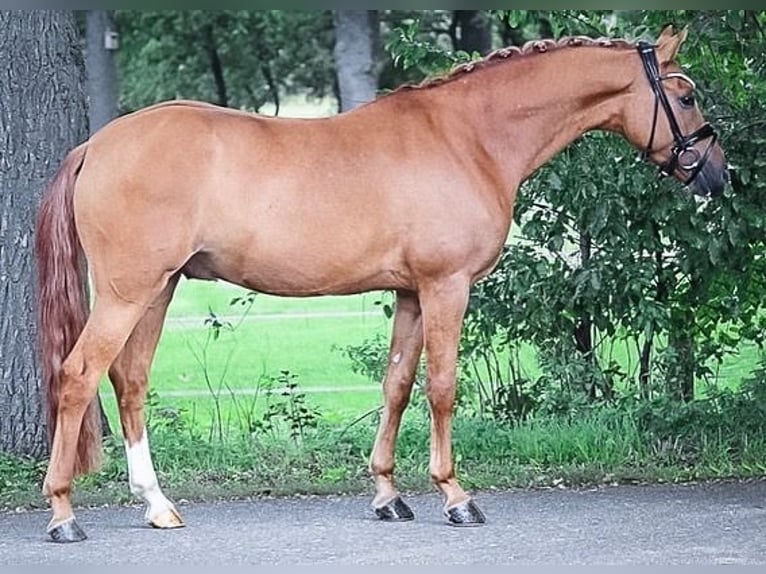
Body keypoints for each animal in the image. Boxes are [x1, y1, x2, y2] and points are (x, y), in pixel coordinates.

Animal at [36, 24, 728, 544]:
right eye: (687, 97)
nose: (717, 176)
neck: (468, 137)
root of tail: (97, 145)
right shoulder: (448, 286)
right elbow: (442, 387)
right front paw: (456, 496)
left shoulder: (412, 294)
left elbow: (396, 385)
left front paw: (388, 494)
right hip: (128, 293)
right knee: (79, 377)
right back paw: (64, 512)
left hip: (159, 289)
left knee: (130, 382)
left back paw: (157, 504)